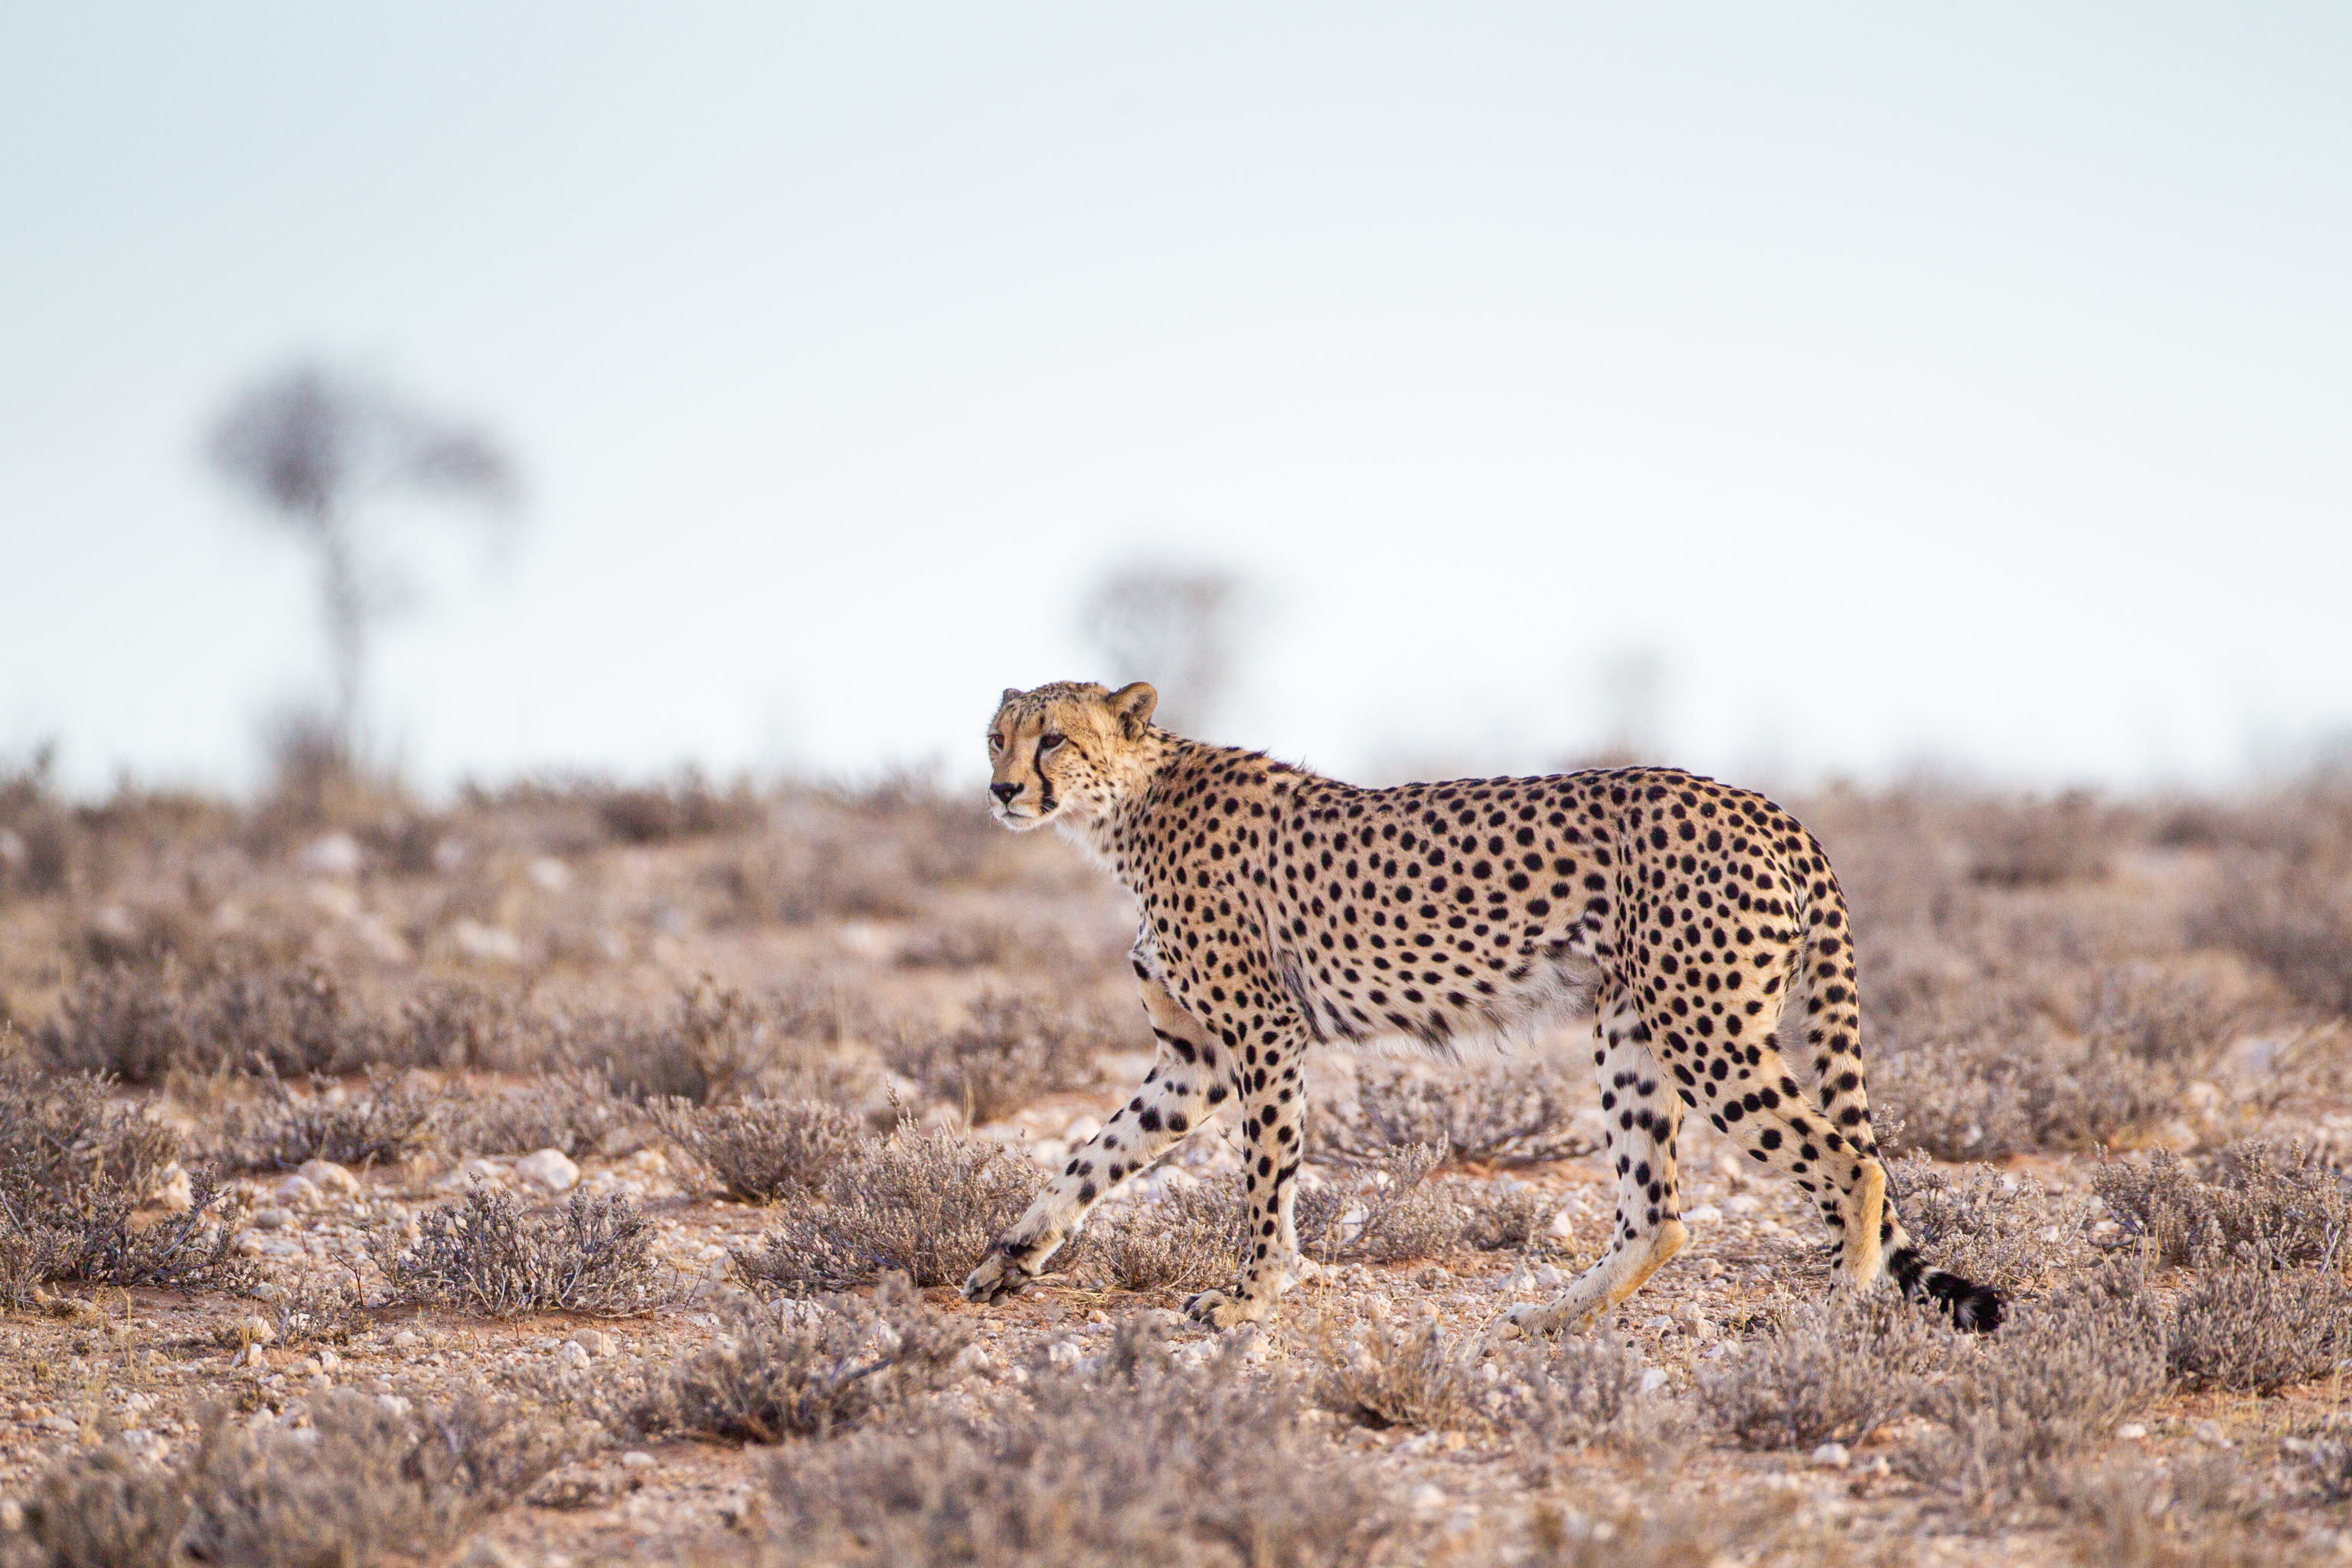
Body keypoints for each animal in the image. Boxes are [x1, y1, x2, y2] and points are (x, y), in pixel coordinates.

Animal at [960, 679, 2003, 1336]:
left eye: (1054, 738)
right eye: (996, 736)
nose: (1002, 790)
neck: (1124, 812)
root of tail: (1766, 807)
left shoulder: (1262, 1034)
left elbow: (1264, 1179)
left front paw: (1249, 1295)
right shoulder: (1197, 1059)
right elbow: (1093, 1156)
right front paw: (1010, 1254)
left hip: (1708, 1031)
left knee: (1854, 1163)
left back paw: (1833, 1323)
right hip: (1634, 1031)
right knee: (1659, 1211)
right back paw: (1550, 1317)